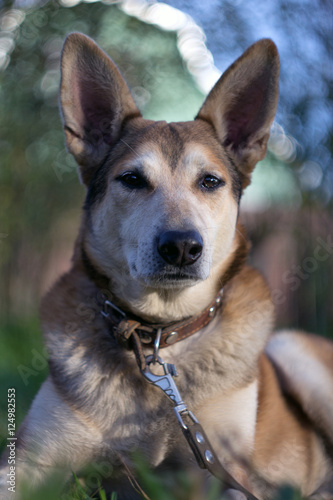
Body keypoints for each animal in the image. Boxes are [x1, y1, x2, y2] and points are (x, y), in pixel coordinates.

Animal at [0, 33, 330, 498]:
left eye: (210, 181)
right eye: (132, 179)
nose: (181, 247)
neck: (159, 334)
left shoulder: (225, 467)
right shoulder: (29, 462)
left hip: (293, 350)